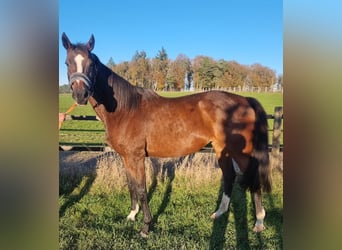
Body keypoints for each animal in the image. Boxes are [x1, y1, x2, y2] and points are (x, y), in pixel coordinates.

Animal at [60, 32, 270, 236]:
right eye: (67, 63)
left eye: (92, 64)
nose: (80, 95)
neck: (125, 109)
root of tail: (245, 99)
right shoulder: (126, 157)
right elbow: (131, 185)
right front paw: (132, 215)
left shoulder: (136, 157)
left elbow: (141, 189)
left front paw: (145, 227)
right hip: (221, 148)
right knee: (229, 176)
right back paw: (219, 213)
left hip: (241, 152)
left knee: (253, 180)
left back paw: (259, 222)